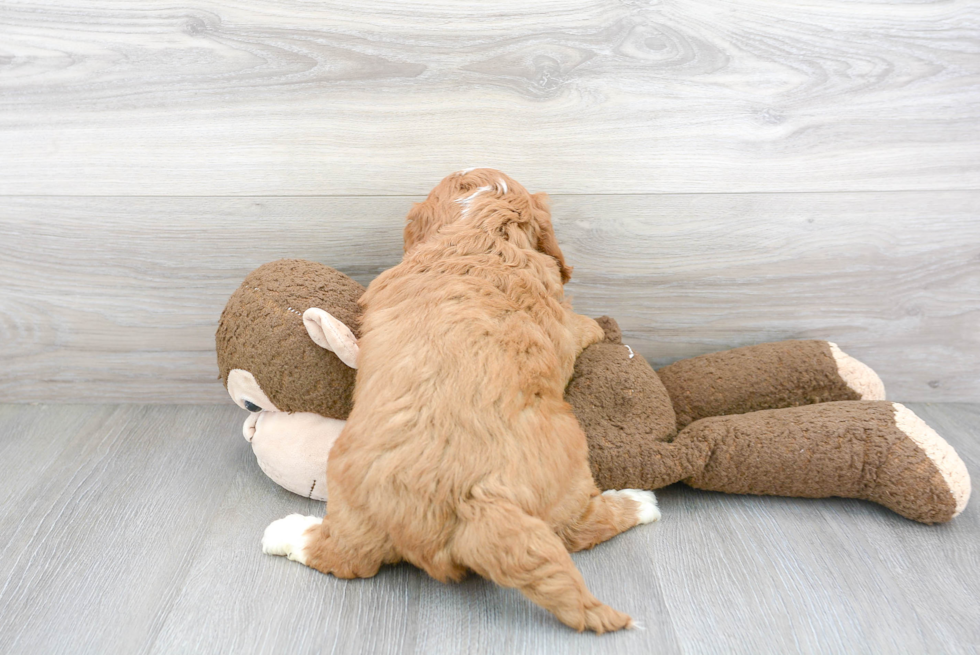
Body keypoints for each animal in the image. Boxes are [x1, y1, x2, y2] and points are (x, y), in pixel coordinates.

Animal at [264, 170, 660, 636]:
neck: (483, 229)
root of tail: (474, 496)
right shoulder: (561, 323)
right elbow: (578, 325)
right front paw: (599, 326)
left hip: (351, 491)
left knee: (343, 554)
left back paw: (285, 534)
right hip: (568, 471)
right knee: (578, 529)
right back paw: (641, 503)